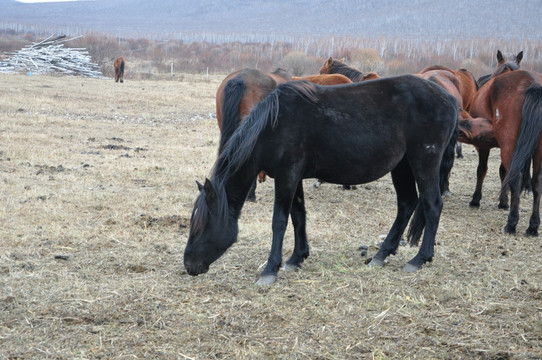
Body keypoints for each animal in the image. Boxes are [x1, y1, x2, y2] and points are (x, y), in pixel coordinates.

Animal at [468, 69, 542, 236]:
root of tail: (532, 82)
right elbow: (503, 172)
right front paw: (503, 202)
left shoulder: (484, 144)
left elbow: (482, 170)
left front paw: (476, 199)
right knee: (537, 182)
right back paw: (533, 226)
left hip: (509, 146)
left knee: (516, 179)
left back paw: (512, 223)